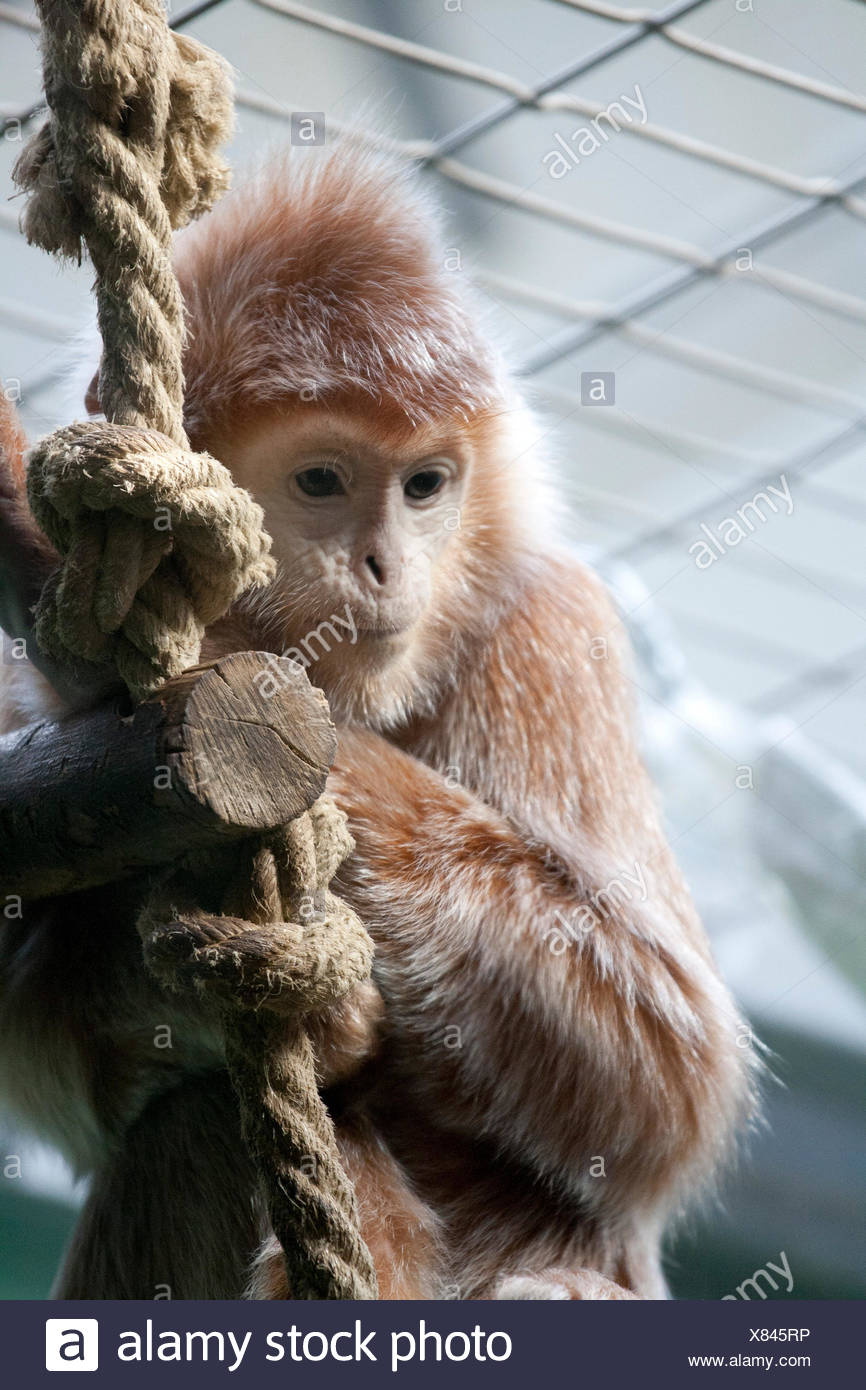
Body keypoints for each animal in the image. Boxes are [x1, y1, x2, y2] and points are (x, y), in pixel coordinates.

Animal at [0, 141, 756, 1301]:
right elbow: (29, 1025)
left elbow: (668, 1067)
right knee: (189, 1123)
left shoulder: (548, 629)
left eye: (425, 486)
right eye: (322, 479)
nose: (387, 564)